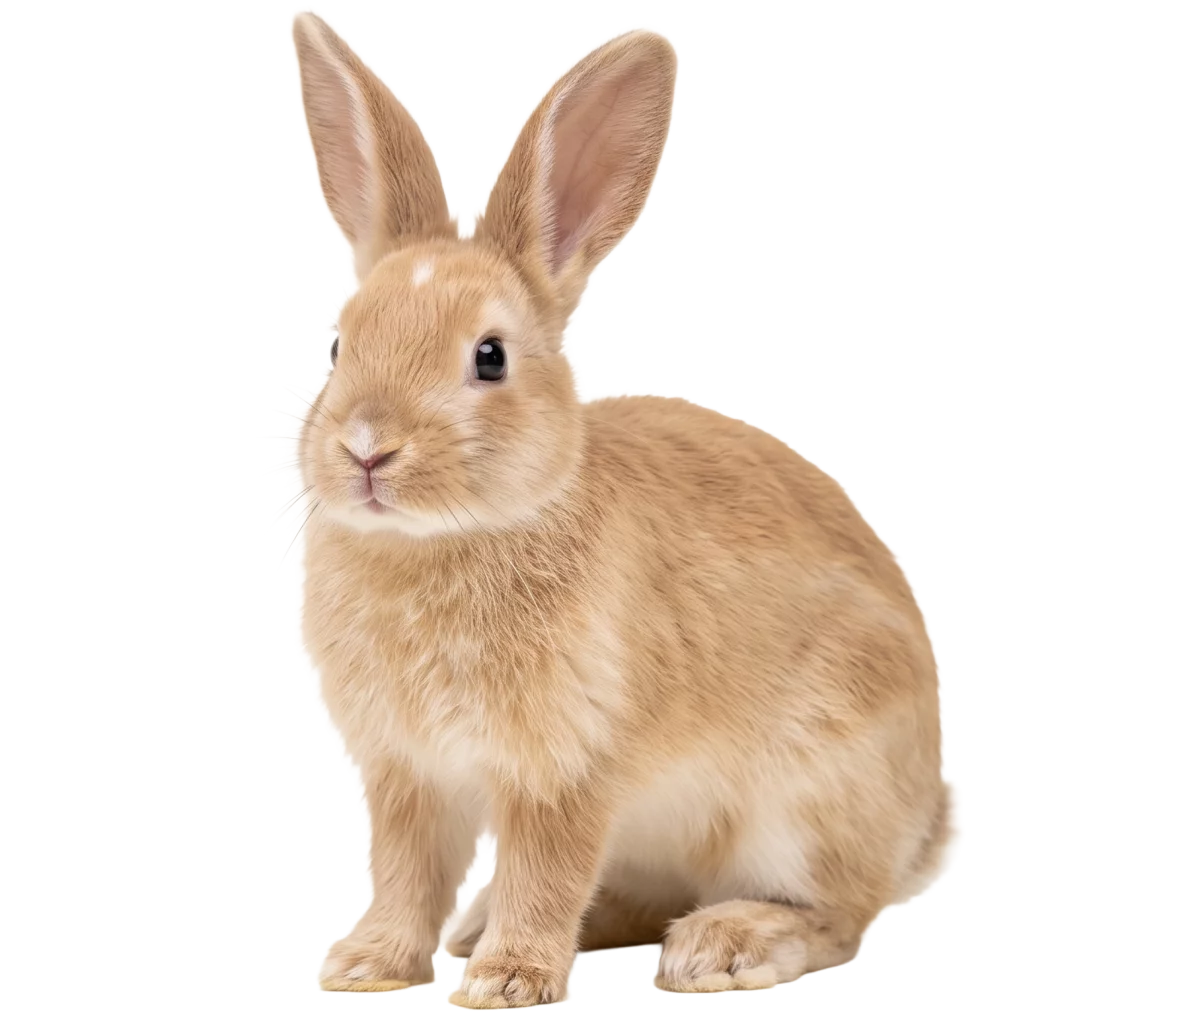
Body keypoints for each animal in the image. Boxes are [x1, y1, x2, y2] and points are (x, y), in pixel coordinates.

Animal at [288, 11, 963, 1006]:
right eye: (339, 343)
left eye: (489, 357)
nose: (368, 449)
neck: (447, 537)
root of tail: (926, 813)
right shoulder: (407, 775)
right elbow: (406, 874)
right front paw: (369, 965)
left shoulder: (567, 769)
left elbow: (544, 871)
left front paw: (507, 981)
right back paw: (487, 928)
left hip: (808, 798)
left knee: (838, 912)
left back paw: (724, 945)